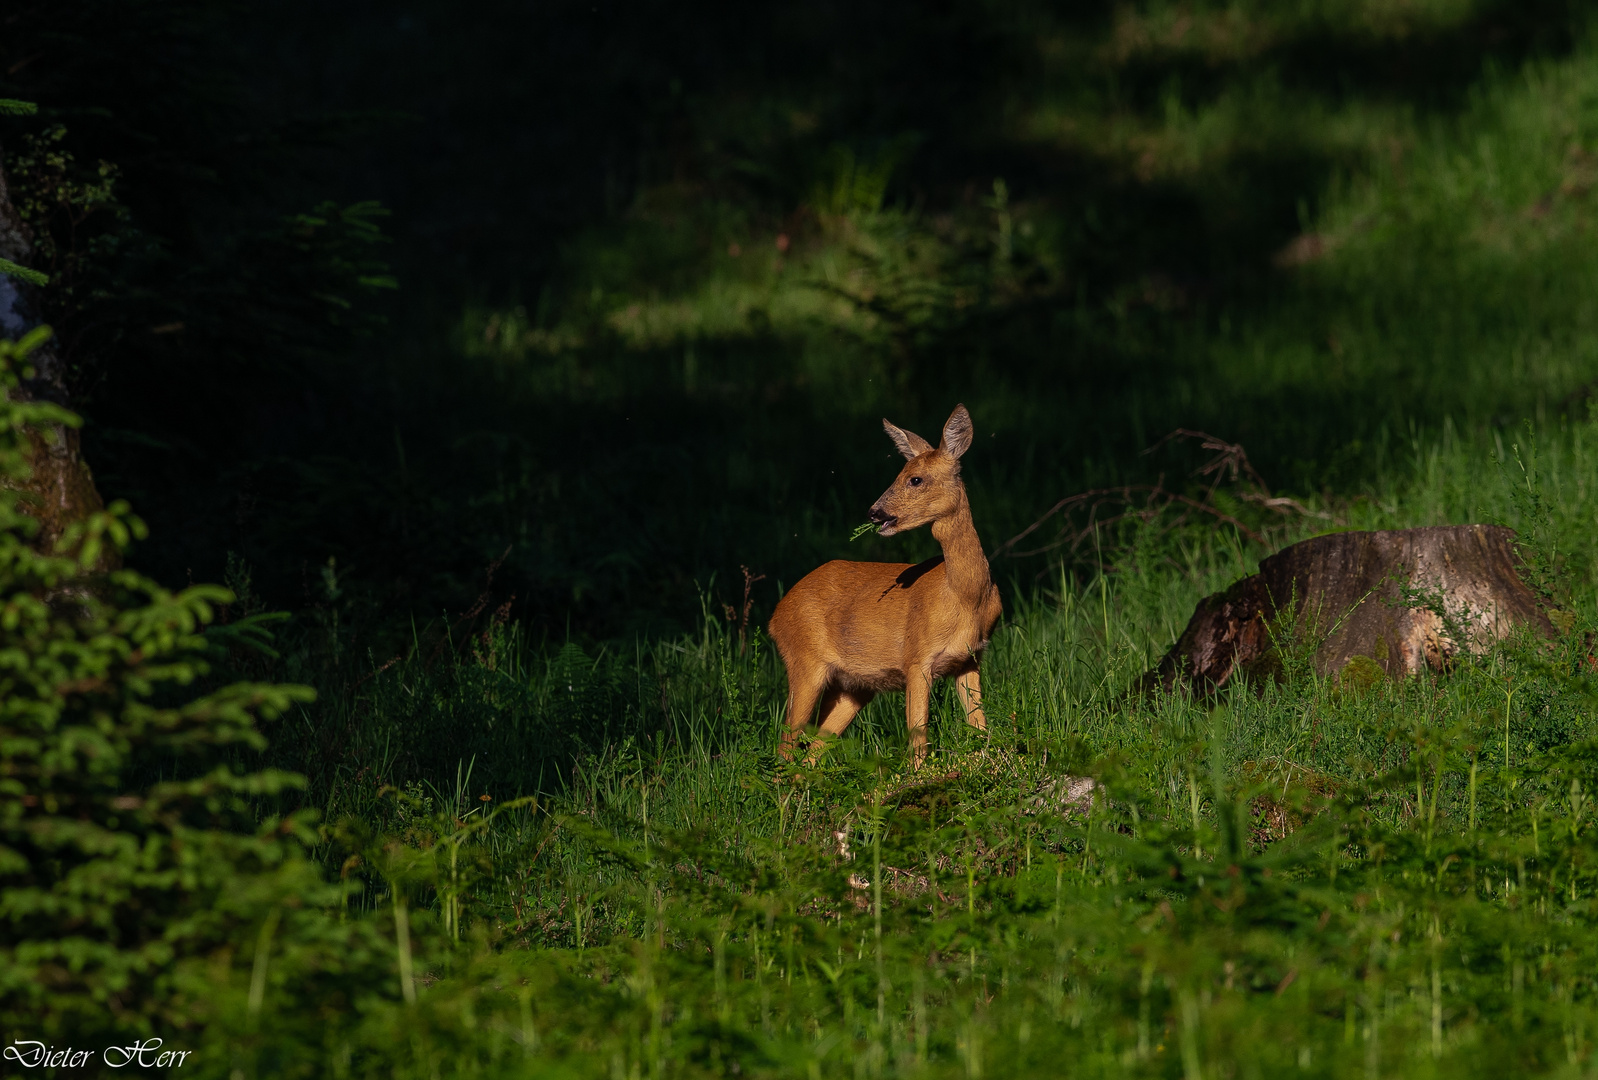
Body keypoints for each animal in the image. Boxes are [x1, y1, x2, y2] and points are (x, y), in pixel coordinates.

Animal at [770, 405, 997, 766]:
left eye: (915, 479)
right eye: (900, 472)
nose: (874, 513)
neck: (965, 596)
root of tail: (774, 617)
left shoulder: (970, 658)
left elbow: (980, 727)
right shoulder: (916, 658)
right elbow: (918, 739)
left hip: (854, 687)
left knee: (811, 752)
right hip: (804, 661)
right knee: (786, 746)